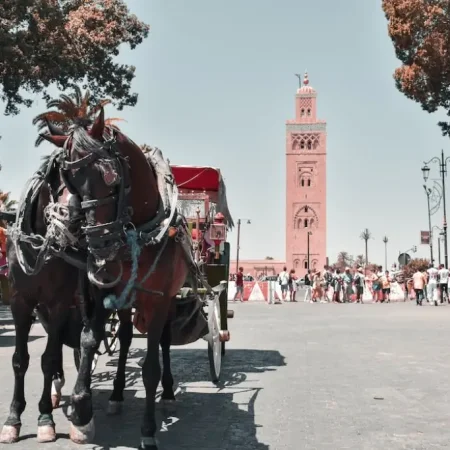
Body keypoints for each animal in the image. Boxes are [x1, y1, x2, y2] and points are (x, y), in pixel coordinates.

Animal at [34, 110, 190, 450]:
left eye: (110, 176)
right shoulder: (100, 292)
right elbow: (88, 340)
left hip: (169, 300)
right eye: (68, 180)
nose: (100, 247)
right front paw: (81, 409)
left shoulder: (158, 300)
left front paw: (148, 429)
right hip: (126, 302)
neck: (139, 232)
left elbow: (150, 367)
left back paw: (168, 393)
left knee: (165, 341)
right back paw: (117, 394)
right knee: (127, 337)